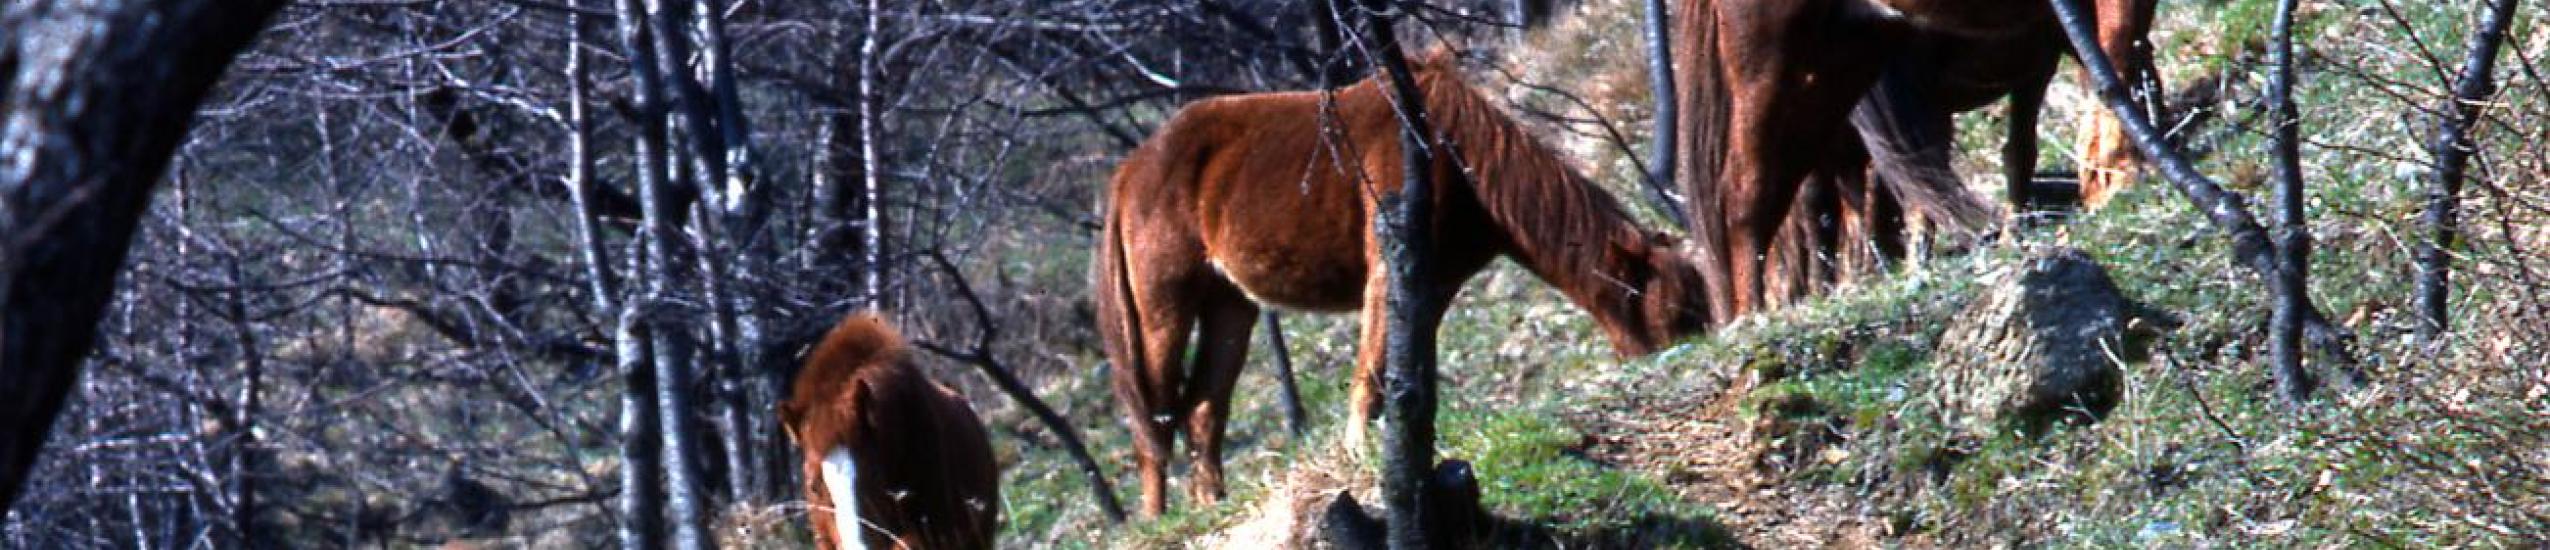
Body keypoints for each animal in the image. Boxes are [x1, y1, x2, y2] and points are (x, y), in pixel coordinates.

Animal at [1096, 49, 1713, 516]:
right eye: (1673, 314)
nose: (1687, 360)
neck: (1454, 152)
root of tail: (1129, 171)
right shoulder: (1389, 272)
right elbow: (1370, 372)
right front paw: (1360, 455)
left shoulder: (1432, 286)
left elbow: (1408, 373)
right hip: (1162, 309)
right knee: (1153, 420)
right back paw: (1156, 518)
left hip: (1229, 306)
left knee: (1202, 411)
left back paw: (1211, 505)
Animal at [1672, 0, 2172, 319]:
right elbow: (2118, 59)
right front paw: (2117, 184)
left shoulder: (2034, 61)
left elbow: (2019, 153)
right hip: (1775, 66)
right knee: (1747, 192)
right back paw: (1752, 317)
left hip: (1836, 70)